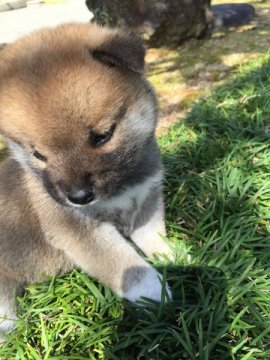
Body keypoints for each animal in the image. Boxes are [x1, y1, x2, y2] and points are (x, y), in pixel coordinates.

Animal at [0, 23, 171, 340]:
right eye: (38, 154)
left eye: (102, 136)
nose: (78, 197)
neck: (121, 187)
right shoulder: (78, 230)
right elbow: (123, 264)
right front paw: (154, 290)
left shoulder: (147, 199)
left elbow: (155, 238)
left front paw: (176, 257)